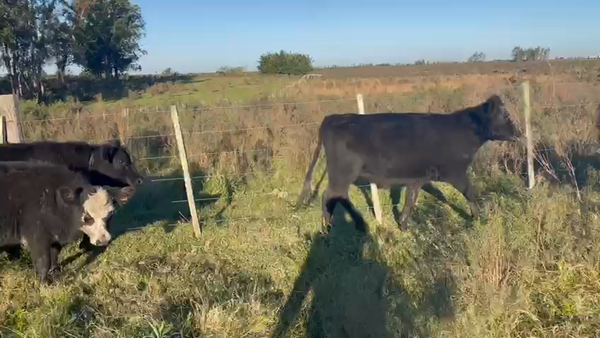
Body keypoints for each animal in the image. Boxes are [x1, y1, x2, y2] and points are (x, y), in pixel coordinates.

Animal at [0, 161, 134, 282]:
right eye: (87, 217)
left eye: (110, 213)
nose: (104, 239)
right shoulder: (37, 237)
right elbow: (43, 261)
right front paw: (44, 282)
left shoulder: (54, 236)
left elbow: (54, 255)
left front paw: (54, 272)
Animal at [296, 95, 520, 232]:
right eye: (505, 115)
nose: (518, 133)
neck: (464, 129)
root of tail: (333, 117)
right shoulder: (456, 173)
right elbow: (470, 193)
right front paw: (479, 218)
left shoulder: (417, 177)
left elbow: (410, 200)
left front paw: (403, 224)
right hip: (342, 173)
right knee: (329, 196)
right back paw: (329, 227)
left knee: (337, 196)